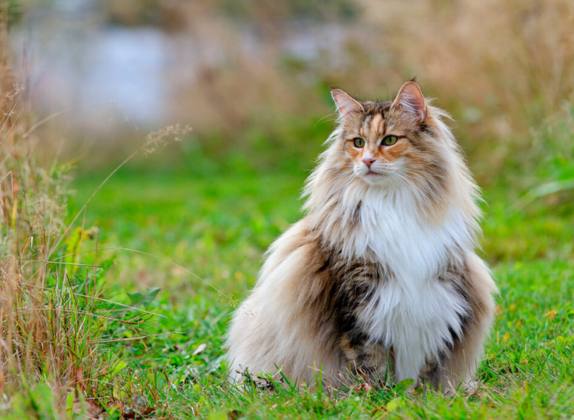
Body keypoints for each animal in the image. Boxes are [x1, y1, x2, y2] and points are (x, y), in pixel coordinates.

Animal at [227, 80, 498, 392]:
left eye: (389, 140)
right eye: (357, 143)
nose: (367, 160)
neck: (392, 203)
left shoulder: (438, 293)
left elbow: (427, 360)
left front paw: (421, 393)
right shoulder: (357, 299)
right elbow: (368, 358)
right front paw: (377, 393)